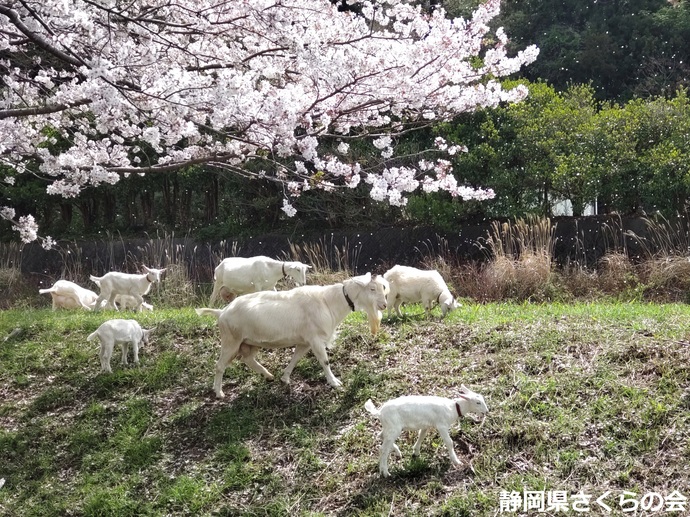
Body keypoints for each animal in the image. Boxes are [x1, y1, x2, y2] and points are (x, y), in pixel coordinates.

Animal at [195, 272, 388, 398]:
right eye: (372, 288)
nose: (384, 305)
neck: (329, 302)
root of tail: (221, 312)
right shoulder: (315, 339)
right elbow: (324, 361)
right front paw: (334, 382)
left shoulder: (305, 341)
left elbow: (296, 358)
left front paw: (285, 378)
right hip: (231, 340)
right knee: (220, 365)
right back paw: (219, 392)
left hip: (249, 342)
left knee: (248, 359)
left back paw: (268, 375)